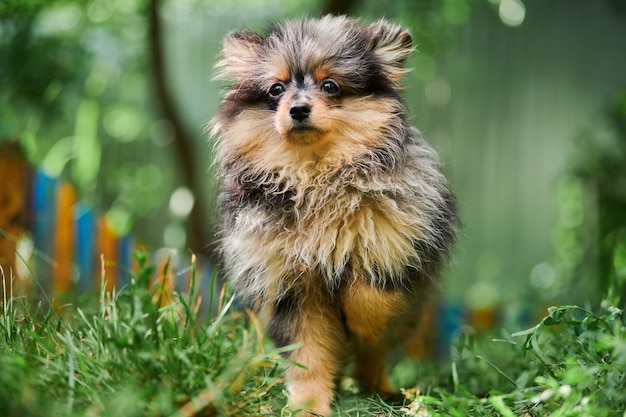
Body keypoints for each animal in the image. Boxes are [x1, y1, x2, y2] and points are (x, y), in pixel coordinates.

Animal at [210, 14, 454, 414]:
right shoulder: (291, 286)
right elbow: (308, 355)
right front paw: (308, 405)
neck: (315, 176)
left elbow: (368, 294)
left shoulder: (393, 243)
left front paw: (363, 327)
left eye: (330, 85)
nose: (298, 108)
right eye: (276, 89)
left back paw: (381, 388)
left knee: (375, 356)